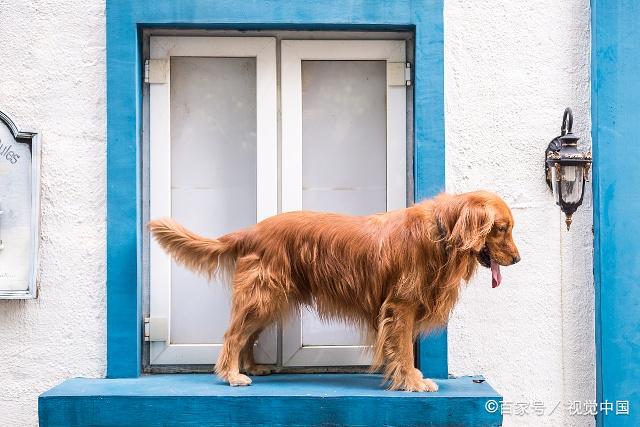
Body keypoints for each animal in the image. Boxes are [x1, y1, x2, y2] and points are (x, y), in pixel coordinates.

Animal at [149, 191, 520, 392]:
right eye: (501, 229)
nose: (518, 259)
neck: (442, 233)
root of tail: (252, 230)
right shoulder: (400, 307)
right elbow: (404, 351)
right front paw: (413, 382)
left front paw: (409, 378)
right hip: (263, 297)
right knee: (233, 335)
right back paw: (230, 375)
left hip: (270, 301)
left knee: (247, 337)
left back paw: (251, 367)